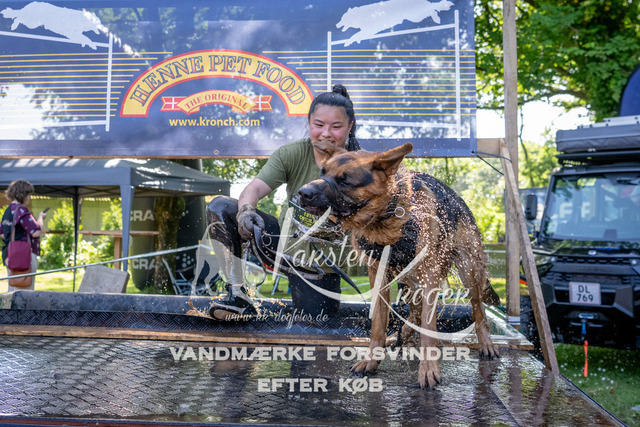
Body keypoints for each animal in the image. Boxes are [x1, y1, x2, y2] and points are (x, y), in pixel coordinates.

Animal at [297, 142, 499, 389]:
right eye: (322, 172)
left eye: (344, 181)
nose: (303, 193)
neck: (388, 214)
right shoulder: (378, 275)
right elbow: (378, 324)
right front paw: (372, 360)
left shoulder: (429, 274)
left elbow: (429, 330)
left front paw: (428, 369)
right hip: (409, 278)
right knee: (414, 311)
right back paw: (400, 335)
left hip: (468, 272)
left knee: (478, 311)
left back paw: (486, 343)